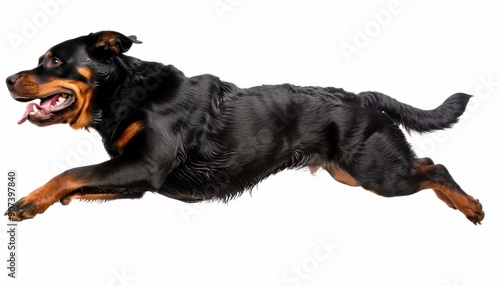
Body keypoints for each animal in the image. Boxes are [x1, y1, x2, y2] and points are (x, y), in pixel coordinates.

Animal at [3, 30, 484, 223]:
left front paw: (28, 201)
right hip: (351, 172)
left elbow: (69, 173)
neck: (127, 92)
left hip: (376, 174)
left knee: (435, 168)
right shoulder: (134, 177)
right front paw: (52, 201)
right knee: (425, 164)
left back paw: (471, 207)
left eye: (54, 60)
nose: (7, 79)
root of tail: (363, 96)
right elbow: (79, 183)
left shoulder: (144, 166)